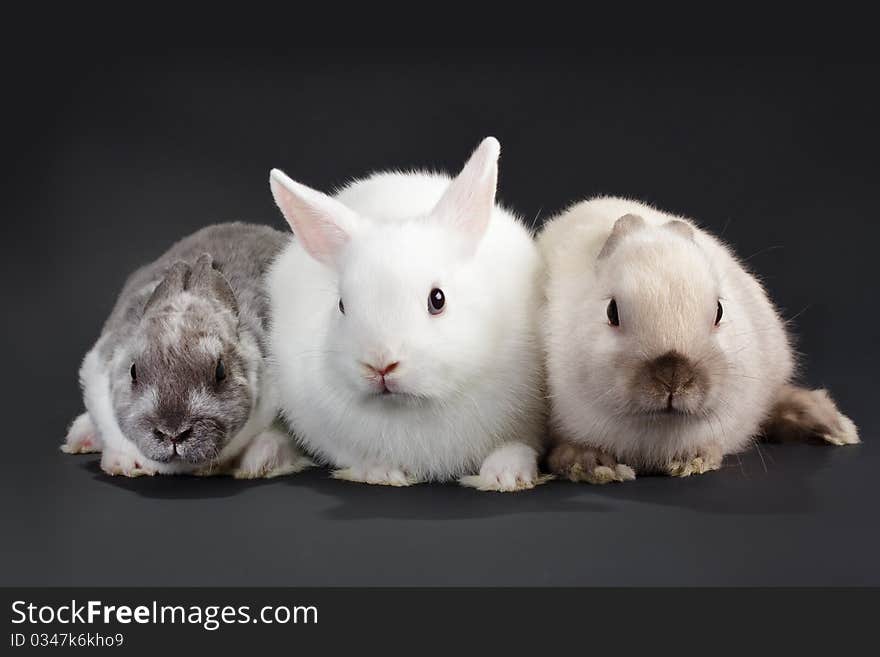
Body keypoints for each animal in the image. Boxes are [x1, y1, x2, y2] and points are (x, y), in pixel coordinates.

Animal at [264, 136, 548, 490]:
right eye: (342, 305)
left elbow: (519, 444)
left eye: (437, 299)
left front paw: (505, 474)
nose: (380, 365)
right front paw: (381, 472)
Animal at [536, 196, 860, 482]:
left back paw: (831, 425)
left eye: (719, 310)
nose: (673, 377)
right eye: (611, 311)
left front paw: (694, 459)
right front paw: (590, 464)